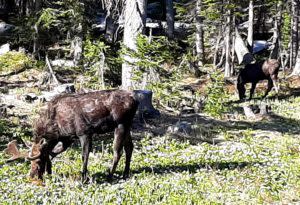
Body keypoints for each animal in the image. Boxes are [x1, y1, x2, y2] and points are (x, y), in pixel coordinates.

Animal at [4, 90, 138, 183]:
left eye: (38, 161)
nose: (31, 176)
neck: (56, 127)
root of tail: (135, 100)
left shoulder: (84, 133)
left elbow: (84, 156)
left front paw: (84, 178)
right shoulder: (67, 138)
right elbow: (52, 153)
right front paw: (49, 172)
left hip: (120, 124)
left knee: (118, 151)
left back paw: (110, 176)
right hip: (128, 125)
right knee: (129, 147)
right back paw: (125, 174)